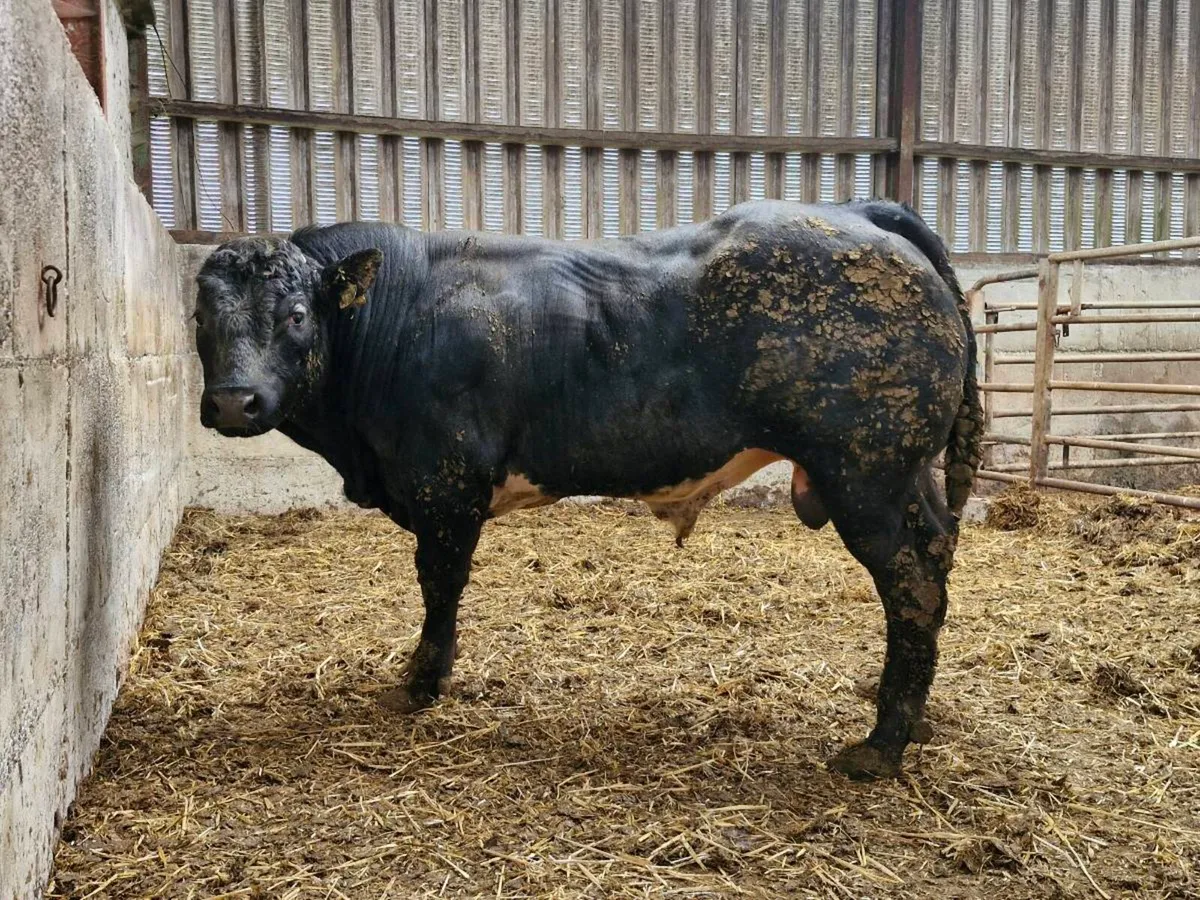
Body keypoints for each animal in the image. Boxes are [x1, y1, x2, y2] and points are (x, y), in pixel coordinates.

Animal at [193, 199, 982, 780]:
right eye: (201, 318)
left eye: (296, 315)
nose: (234, 402)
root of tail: (858, 212)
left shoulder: (446, 485)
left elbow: (439, 586)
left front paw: (421, 684)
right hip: (907, 476)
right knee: (938, 563)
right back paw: (917, 718)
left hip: (867, 474)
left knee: (912, 586)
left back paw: (880, 748)